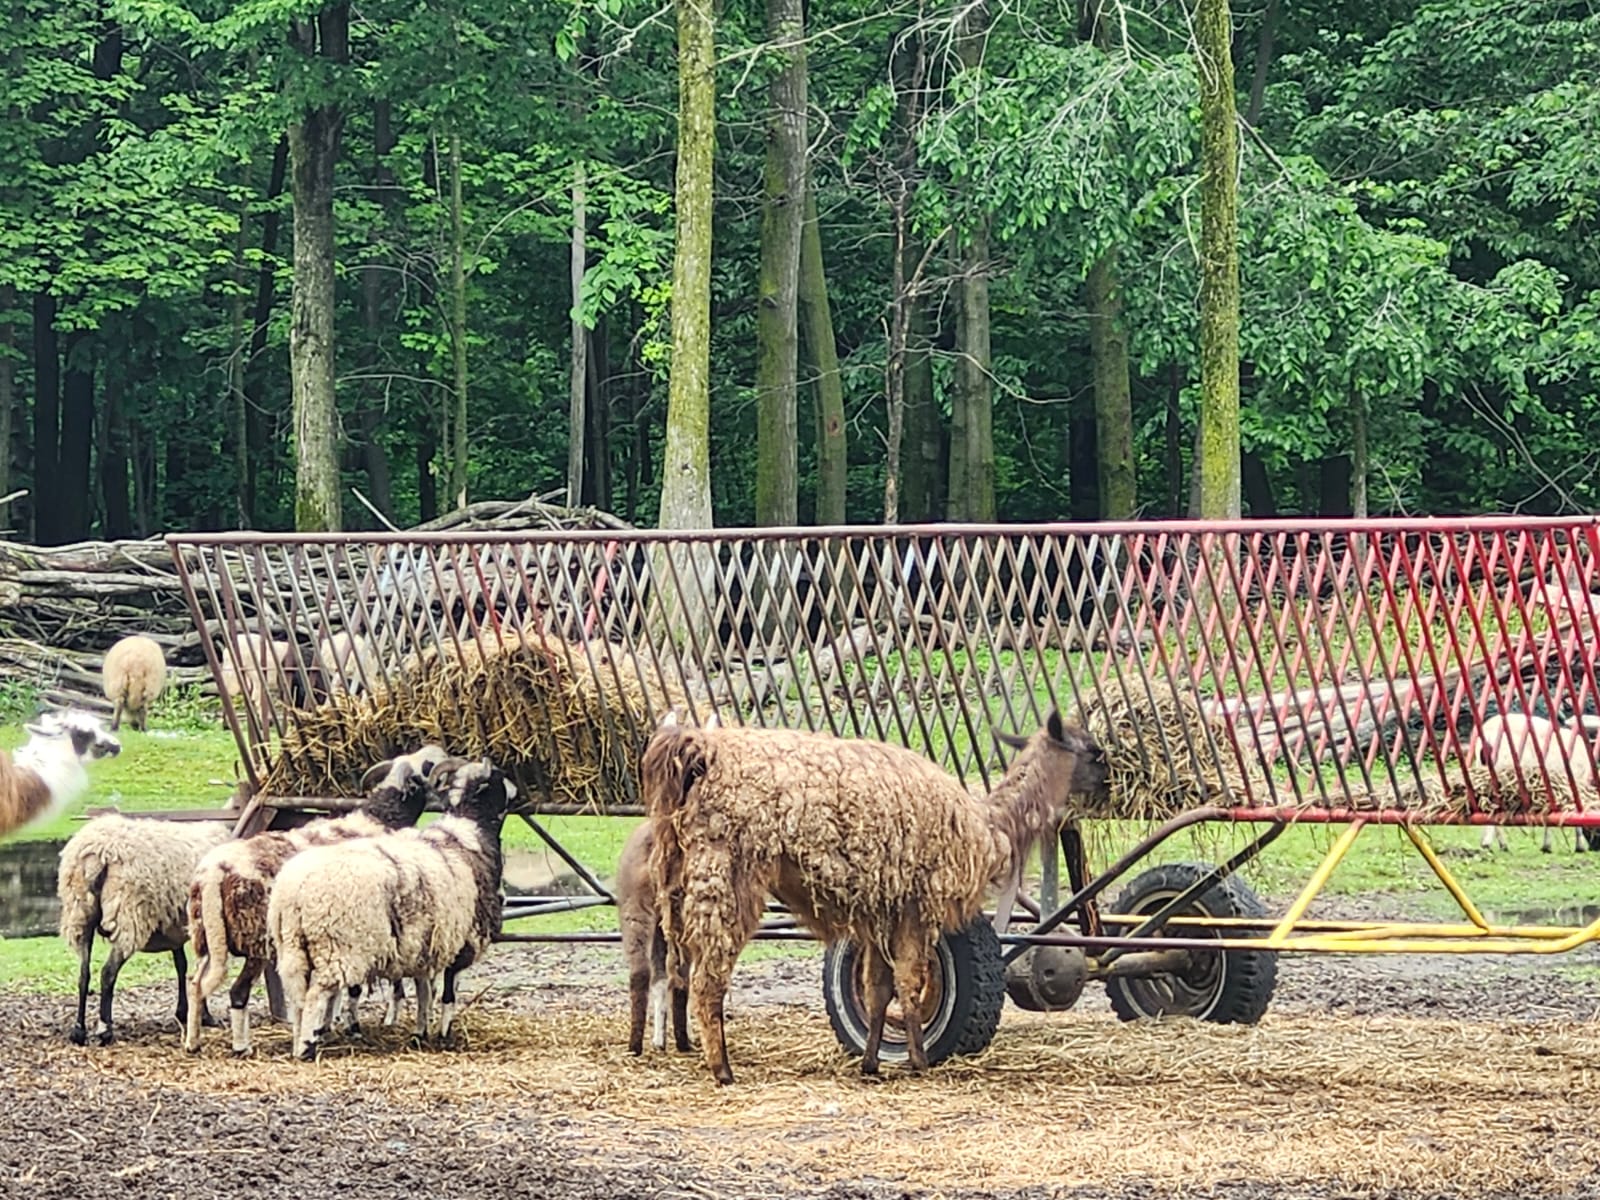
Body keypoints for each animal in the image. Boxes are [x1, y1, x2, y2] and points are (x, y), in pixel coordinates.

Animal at [58, 813, 233, 1045]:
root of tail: (98, 851)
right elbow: (200, 970)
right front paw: (204, 1015)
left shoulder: (174, 929)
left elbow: (182, 965)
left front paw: (183, 1011)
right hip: (127, 917)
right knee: (107, 973)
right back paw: (105, 1029)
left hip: (80, 914)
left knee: (83, 974)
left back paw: (78, 1031)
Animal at [184, 745, 448, 1056]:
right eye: (429, 765)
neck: (381, 818)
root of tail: (215, 872)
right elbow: (352, 986)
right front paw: (347, 1027)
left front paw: (325, 1026)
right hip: (256, 941)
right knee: (238, 992)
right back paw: (241, 1047)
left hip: (206, 937)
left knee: (195, 984)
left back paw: (193, 1042)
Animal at [269, 757, 518, 1059]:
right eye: (498, 778)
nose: (517, 791)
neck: (471, 830)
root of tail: (291, 892)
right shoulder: (464, 939)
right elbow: (448, 993)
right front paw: (445, 1034)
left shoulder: (426, 942)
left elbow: (424, 992)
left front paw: (421, 1032)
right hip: (338, 948)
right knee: (317, 995)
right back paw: (307, 1047)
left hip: (292, 947)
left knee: (298, 999)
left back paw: (299, 1041)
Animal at [616, 819, 688, 1056]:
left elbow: (660, 978)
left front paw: (659, 1041)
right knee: (680, 975)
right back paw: (684, 1042)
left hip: (634, 909)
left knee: (640, 972)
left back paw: (634, 1046)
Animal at [643, 711, 1109, 1084]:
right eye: (1093, 751)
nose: (1110, 780)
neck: (988, 825)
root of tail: (702, 752)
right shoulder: (919, 902)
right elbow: (910, 983)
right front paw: (919, 1061)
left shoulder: (879, 910)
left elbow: (878, 990)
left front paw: (871, 1063)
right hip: (726, 869)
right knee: (708, 977)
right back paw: (722, 1070)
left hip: (678, 878)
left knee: (678, 968)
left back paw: (687, 1048)